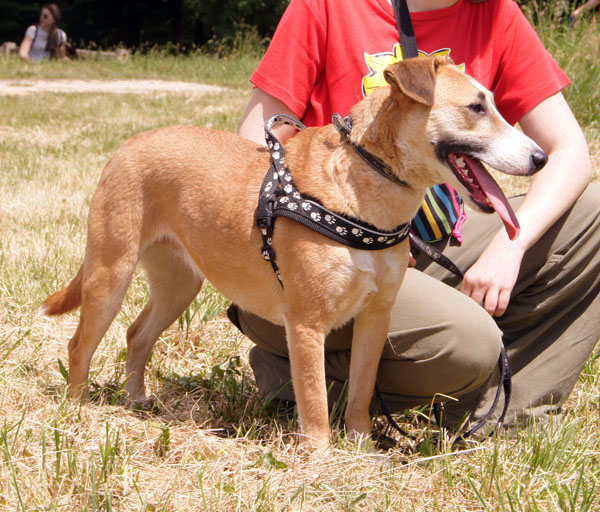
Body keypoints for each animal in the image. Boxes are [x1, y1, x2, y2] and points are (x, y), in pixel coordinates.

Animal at [43, 56, 548, 448]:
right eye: (476, 108)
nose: (541, 158)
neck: (363, 185)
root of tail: (126, 146)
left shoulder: (375, 318)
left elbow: (361, 392)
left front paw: (362, 450)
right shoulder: (306, 323)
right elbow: (316, 402)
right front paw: (321, 463)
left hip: (177, 286)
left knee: (136, 335)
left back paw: (135, 400)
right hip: (110, 274)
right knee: (79, 346)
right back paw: (76, 415)